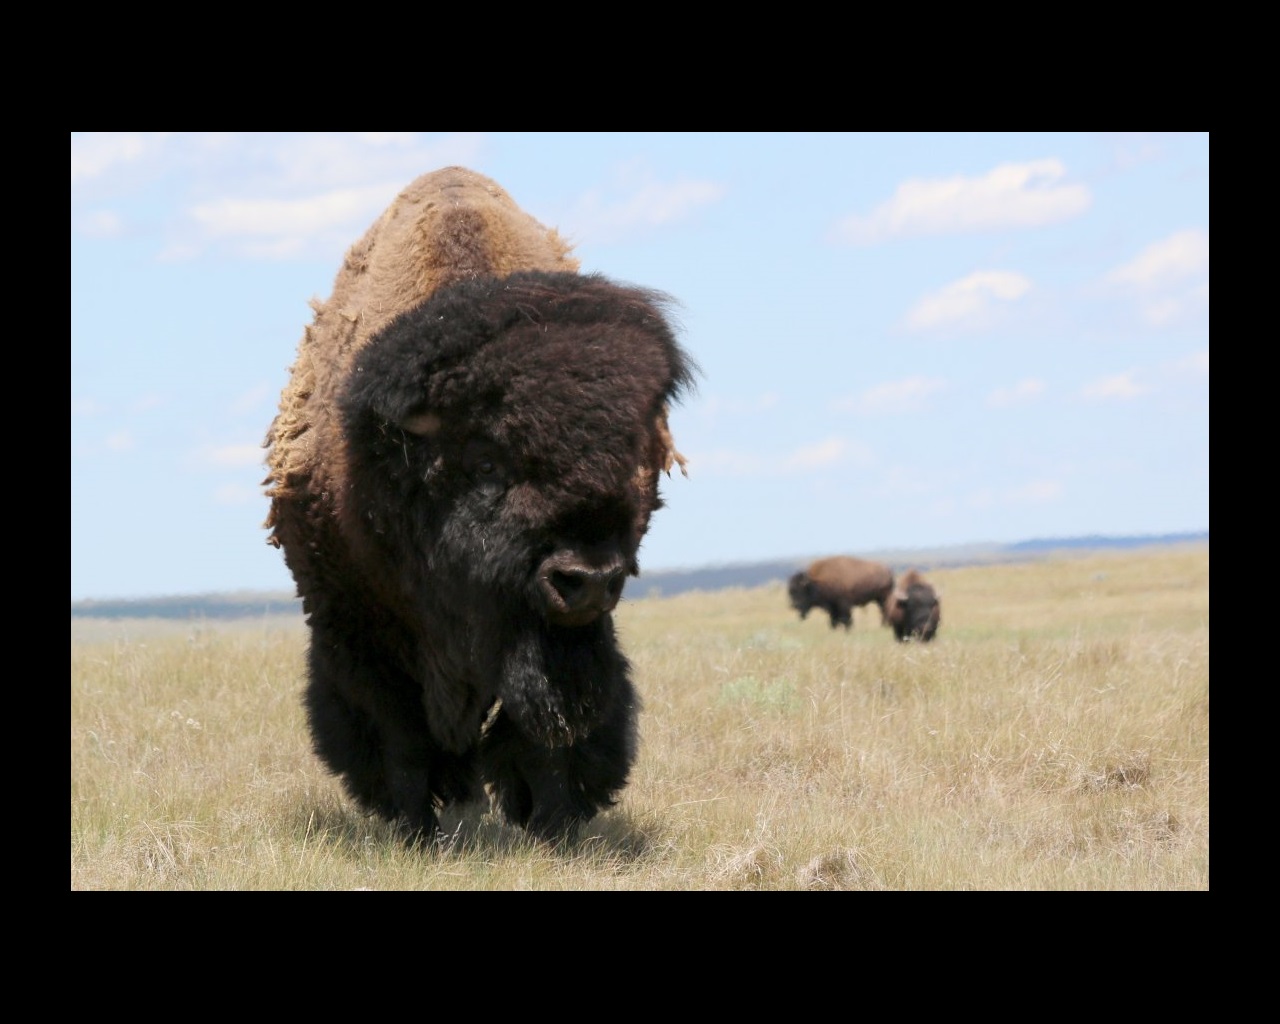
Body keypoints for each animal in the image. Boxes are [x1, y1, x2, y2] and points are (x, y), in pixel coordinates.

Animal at [263, 167, 697, 842]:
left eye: (632, 457)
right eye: (488, 463)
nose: (586, 578)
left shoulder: (559, 637)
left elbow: (548, 732)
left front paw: (554, 828)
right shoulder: (357, 625)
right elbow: (402, 738)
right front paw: (414, 832)